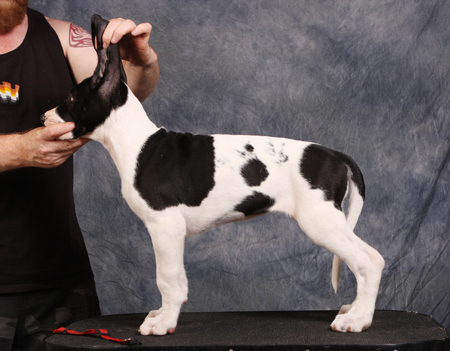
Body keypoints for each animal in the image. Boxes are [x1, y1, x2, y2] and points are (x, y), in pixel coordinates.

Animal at [42, 15, 384, 336]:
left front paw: (163, 323)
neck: (135, 141)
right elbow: (176, 280)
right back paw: (354, 310)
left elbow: (167, 279)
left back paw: (357, 320)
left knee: (368, 261)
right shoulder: (171, 232)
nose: (44, 118)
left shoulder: (165, 227)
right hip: (329, 221)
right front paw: (163, 314)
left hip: (320, 221)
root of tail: (336, 156)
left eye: (71, 99)